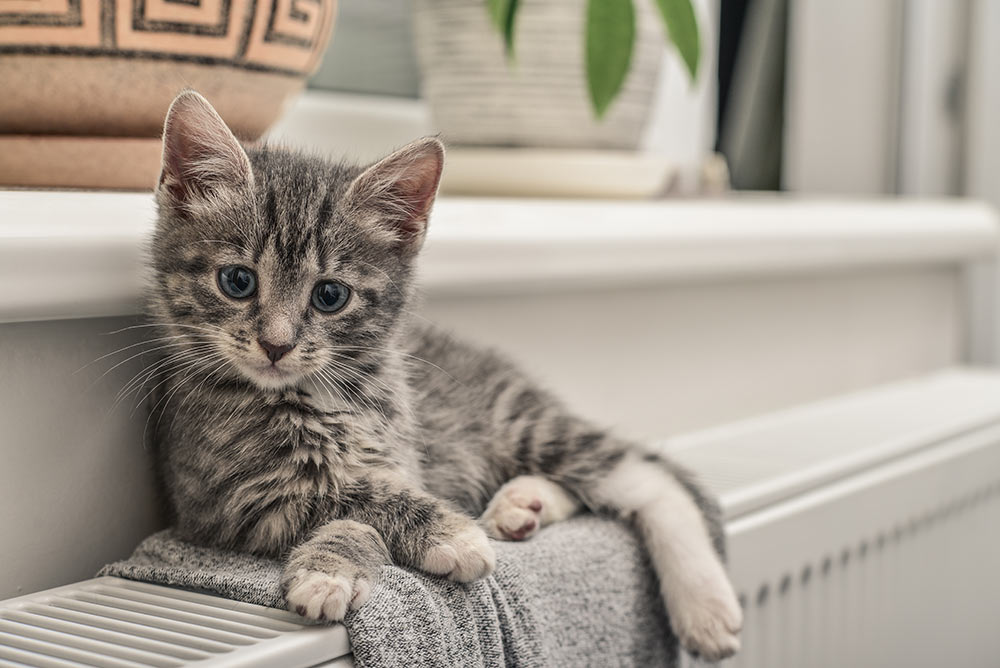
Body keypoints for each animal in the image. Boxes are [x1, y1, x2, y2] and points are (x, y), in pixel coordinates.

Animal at [148, 91, 744, 660]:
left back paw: (704, 603)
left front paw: (371, 554)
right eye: (237, 281)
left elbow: (369, 495)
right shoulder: (228, 503)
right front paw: (357, 563)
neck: (323, 398)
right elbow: (349, 498)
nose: (276, 345)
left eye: (330, 295)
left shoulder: (404, 458)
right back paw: (521, 507)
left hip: (517, 421)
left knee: (648, 478)